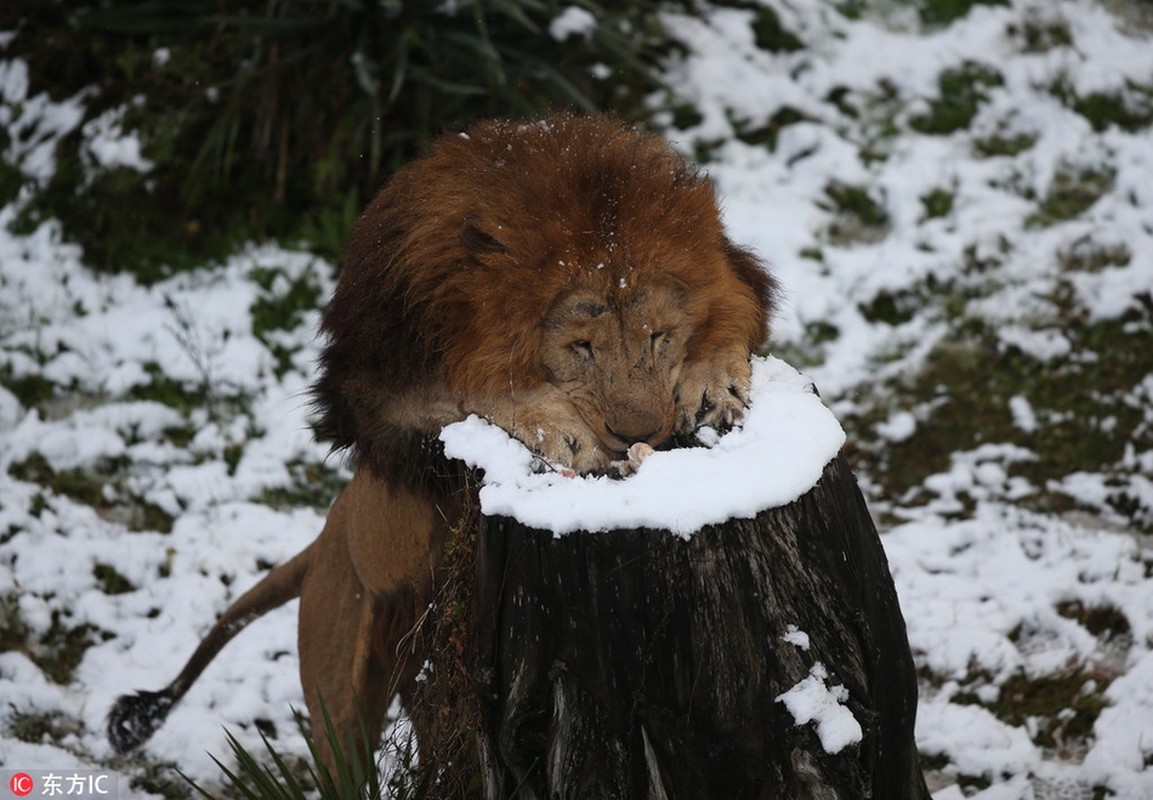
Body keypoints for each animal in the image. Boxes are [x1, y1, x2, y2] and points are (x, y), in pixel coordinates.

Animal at [108, 114, 779, 779]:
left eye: (661, 337)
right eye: (581, 347)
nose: (639, 433)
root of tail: (326, 536)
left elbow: (732, 312)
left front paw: (713, 383)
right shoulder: (373, 396)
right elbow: (471, 386)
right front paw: (564, 431)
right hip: (341, 690)